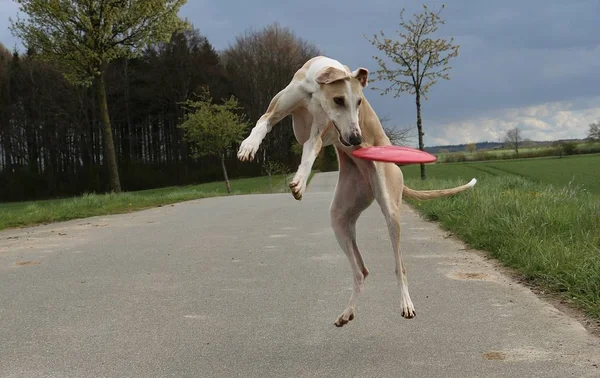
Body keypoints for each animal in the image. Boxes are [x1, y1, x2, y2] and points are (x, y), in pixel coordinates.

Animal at [237, 54, 476, 326]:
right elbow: (263, 122)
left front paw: (299, 181)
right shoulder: (281, 109)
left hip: (390, 209)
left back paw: (406, 303)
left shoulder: (319, 131)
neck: (316, 87)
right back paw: (347, 312)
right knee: (361, 271)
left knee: (400, 266)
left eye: (360, 102)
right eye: (339, 100)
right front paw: (248, 147)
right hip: (340, 217)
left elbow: (310, 150)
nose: (356, 140)